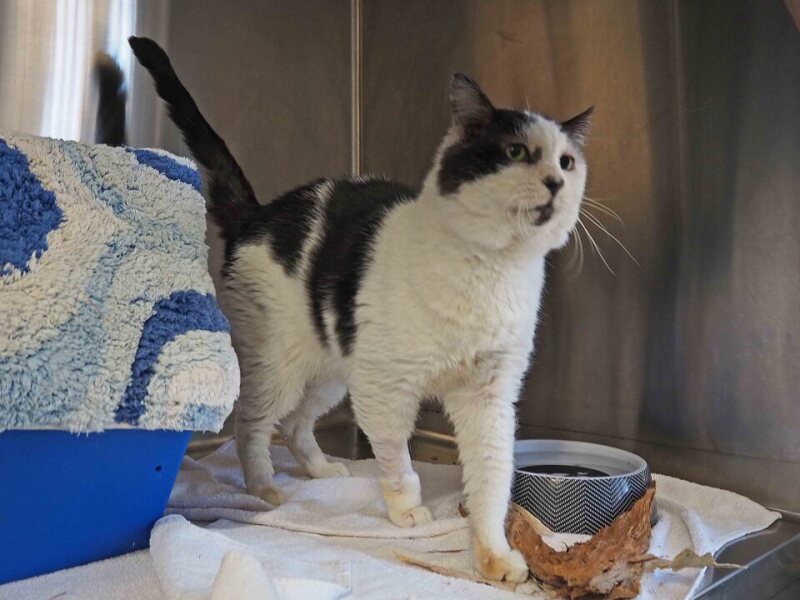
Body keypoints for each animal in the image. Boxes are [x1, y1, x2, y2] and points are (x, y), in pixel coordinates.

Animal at [129, 36, 591, 583]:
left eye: (567, 162)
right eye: (516, 152)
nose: (555, 182)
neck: (492, 269)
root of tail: (259, 214)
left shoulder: (489, 397)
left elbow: (492, 480)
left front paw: (493, 554)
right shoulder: (385, 390)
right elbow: (397, 459)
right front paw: (406, 510)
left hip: (333, 372)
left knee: (295, 425)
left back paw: (322, 470)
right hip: (280, 366)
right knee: (252, 424)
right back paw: (264, 487)